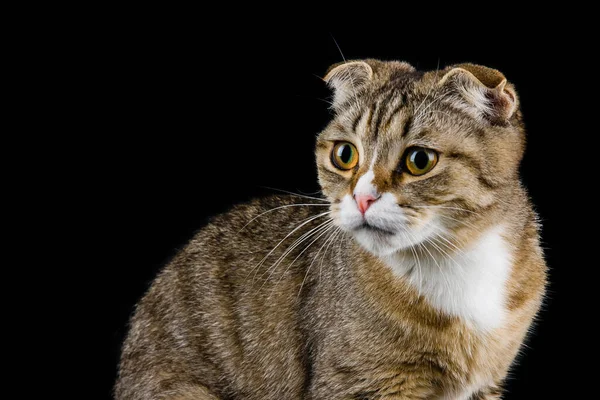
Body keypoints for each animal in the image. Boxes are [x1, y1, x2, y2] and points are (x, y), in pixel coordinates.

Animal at [115, 59, 548, 400]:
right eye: (344, 155)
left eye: (420, 160)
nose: (363, 198)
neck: (455, 260)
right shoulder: (357, 383)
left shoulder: (486, 381)